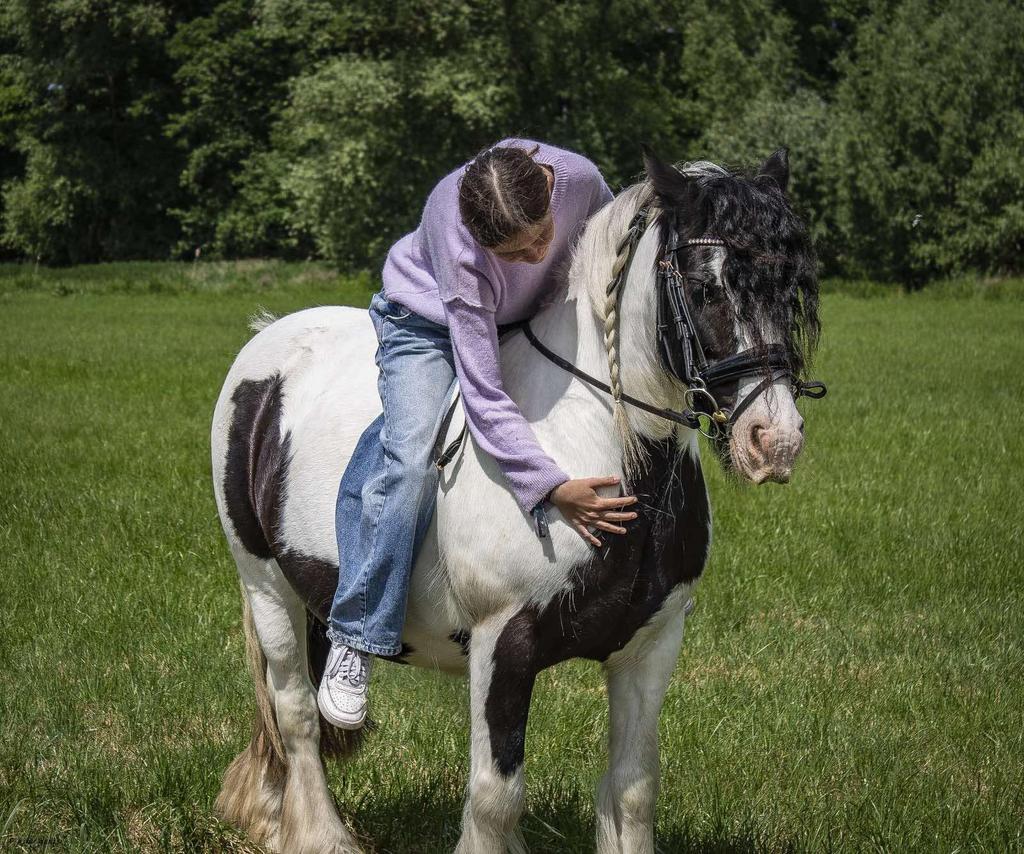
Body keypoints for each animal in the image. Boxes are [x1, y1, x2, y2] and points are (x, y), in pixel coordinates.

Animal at [209, 148, 822, 854]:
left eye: (794, 288)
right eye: (706, 289)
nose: (774, 440)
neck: (595, 444)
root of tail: (267, 341)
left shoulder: (652, 644)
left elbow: (633, 790)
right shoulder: (504, 641)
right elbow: (495, 797)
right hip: (265, 586)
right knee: (297, 716)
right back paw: (321, 833)